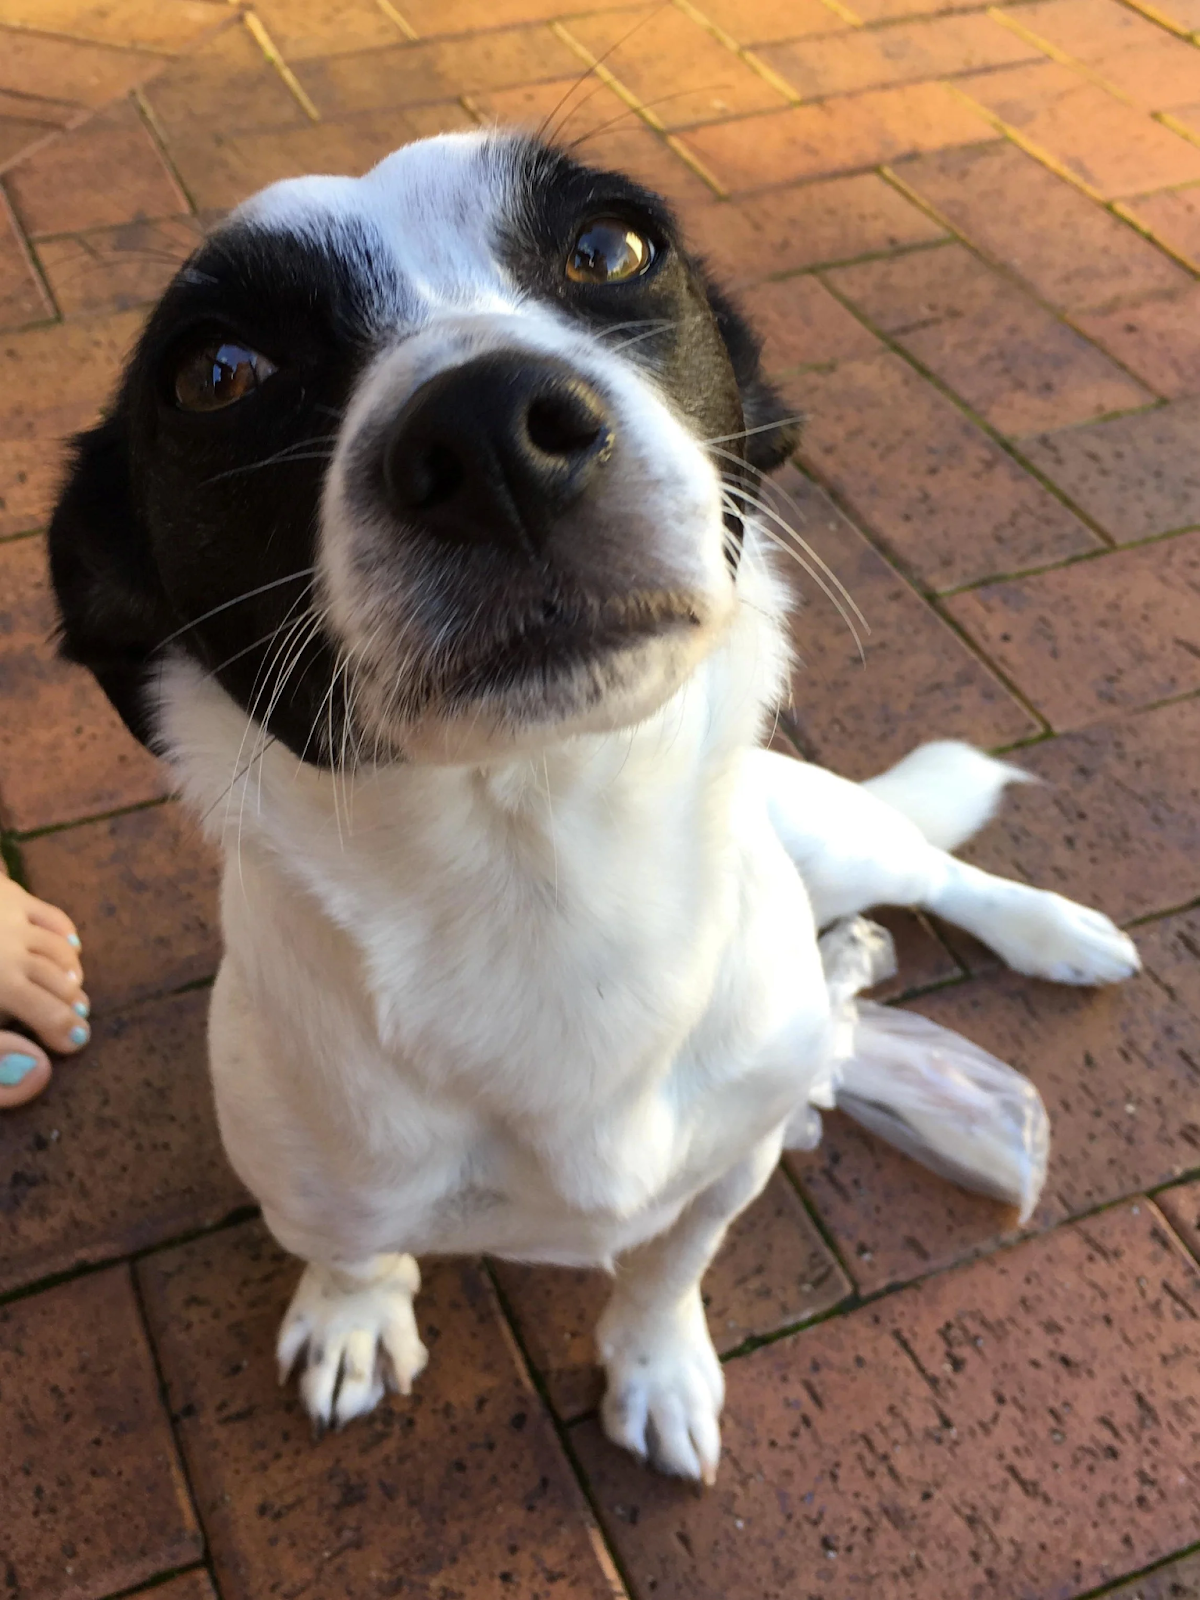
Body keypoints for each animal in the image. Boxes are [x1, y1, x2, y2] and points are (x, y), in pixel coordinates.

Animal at [44, 131, 1139, 1478]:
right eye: (217, 373)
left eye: (613, 246)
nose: (493, 434)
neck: (547, 877)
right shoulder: (315, 1187)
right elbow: (354, 1250)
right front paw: (354, 1316)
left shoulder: (727, 1170)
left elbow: (668, 1268)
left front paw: (656, 1366)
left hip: (829, 837)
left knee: (934, 864)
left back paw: (1055, 932)